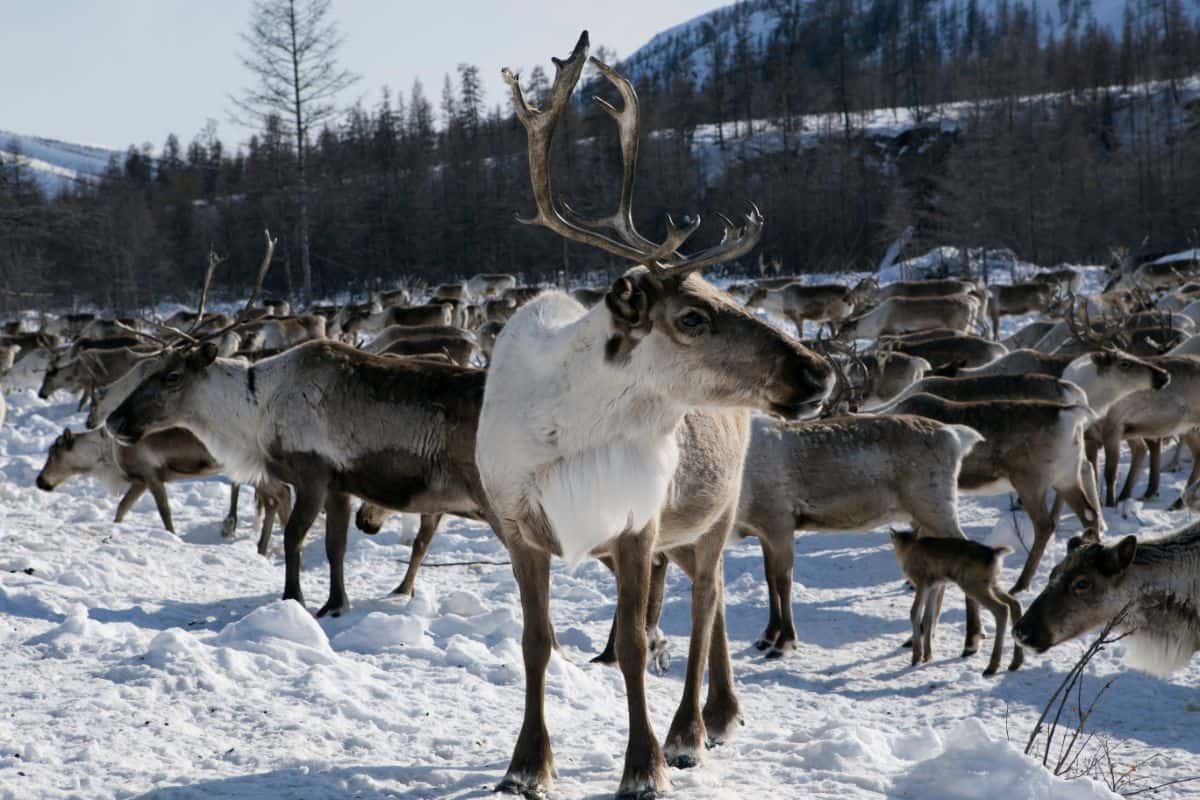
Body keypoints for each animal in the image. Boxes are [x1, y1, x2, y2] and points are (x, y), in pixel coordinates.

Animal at [475, 35, 834, 798]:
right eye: (692, 316)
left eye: (723, 299)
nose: (818, 372)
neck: (568, 434)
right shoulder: (517, 527)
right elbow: (535, 643)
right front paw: (526, 764)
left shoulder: (638, 523)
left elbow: (639, 642)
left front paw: (644, 766)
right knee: (710, 598)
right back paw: (717, 715)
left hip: (718, 508)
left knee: (706, 598)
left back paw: (695, 727)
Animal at [891, 530, 1024, 676]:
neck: (908, 548)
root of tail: (995, 553)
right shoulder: (934, 586)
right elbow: (928, 617)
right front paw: (927, 656)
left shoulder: (922, 582)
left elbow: (914, 612)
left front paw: (916, 658)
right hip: (993, 583)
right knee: (1015, 603)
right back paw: (1015, 663)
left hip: (973, 585)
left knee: (1002, 609)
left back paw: (991, 667)